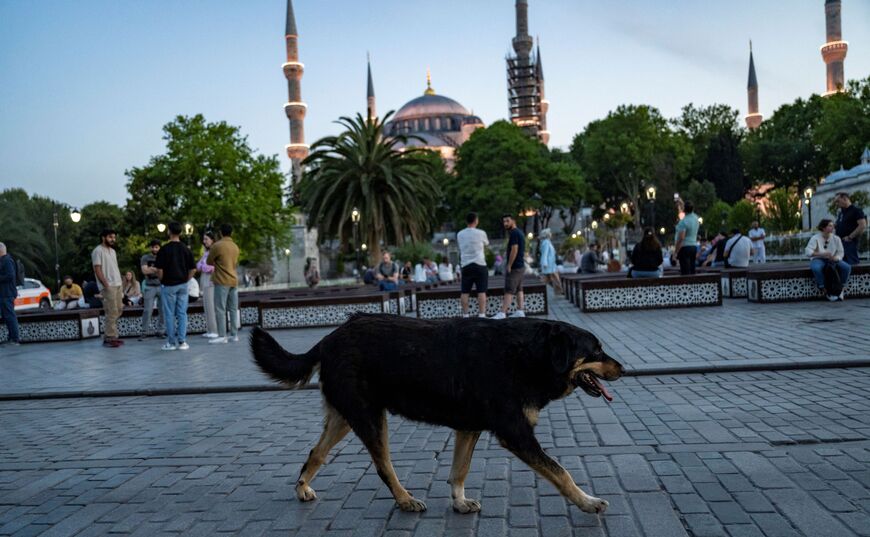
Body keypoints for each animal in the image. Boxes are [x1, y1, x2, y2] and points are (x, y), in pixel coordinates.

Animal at [249, 314, 624, 516]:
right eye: (596, 351)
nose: (623, 368)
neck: (529, 354)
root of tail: (329, 337)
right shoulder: (516, 433)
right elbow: (562, 473)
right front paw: (588, 502)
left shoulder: (469, 427)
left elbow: (459, 471)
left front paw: (459, 503)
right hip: (370, 418)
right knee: (383, 466)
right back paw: (405, 500)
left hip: (344, 417)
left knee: (316, 453)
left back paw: (302, 488)